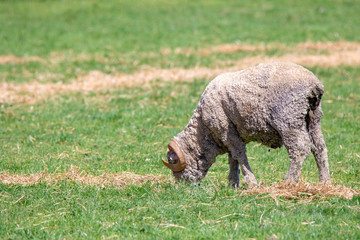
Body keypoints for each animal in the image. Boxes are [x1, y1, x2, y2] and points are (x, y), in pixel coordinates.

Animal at [162, 61, 330, 187]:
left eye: (173, 162)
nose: (182, 186)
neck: (203, 131)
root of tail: (314, 85)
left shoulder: (226, 131)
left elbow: (239, 155)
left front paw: (251, 183)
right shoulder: (232, 134)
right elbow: (232, 159)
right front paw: (232, 184)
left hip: (289, 119)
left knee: (299, 149)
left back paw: (288, 182)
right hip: (313, 117)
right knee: (319, 148)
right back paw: (324, 182)